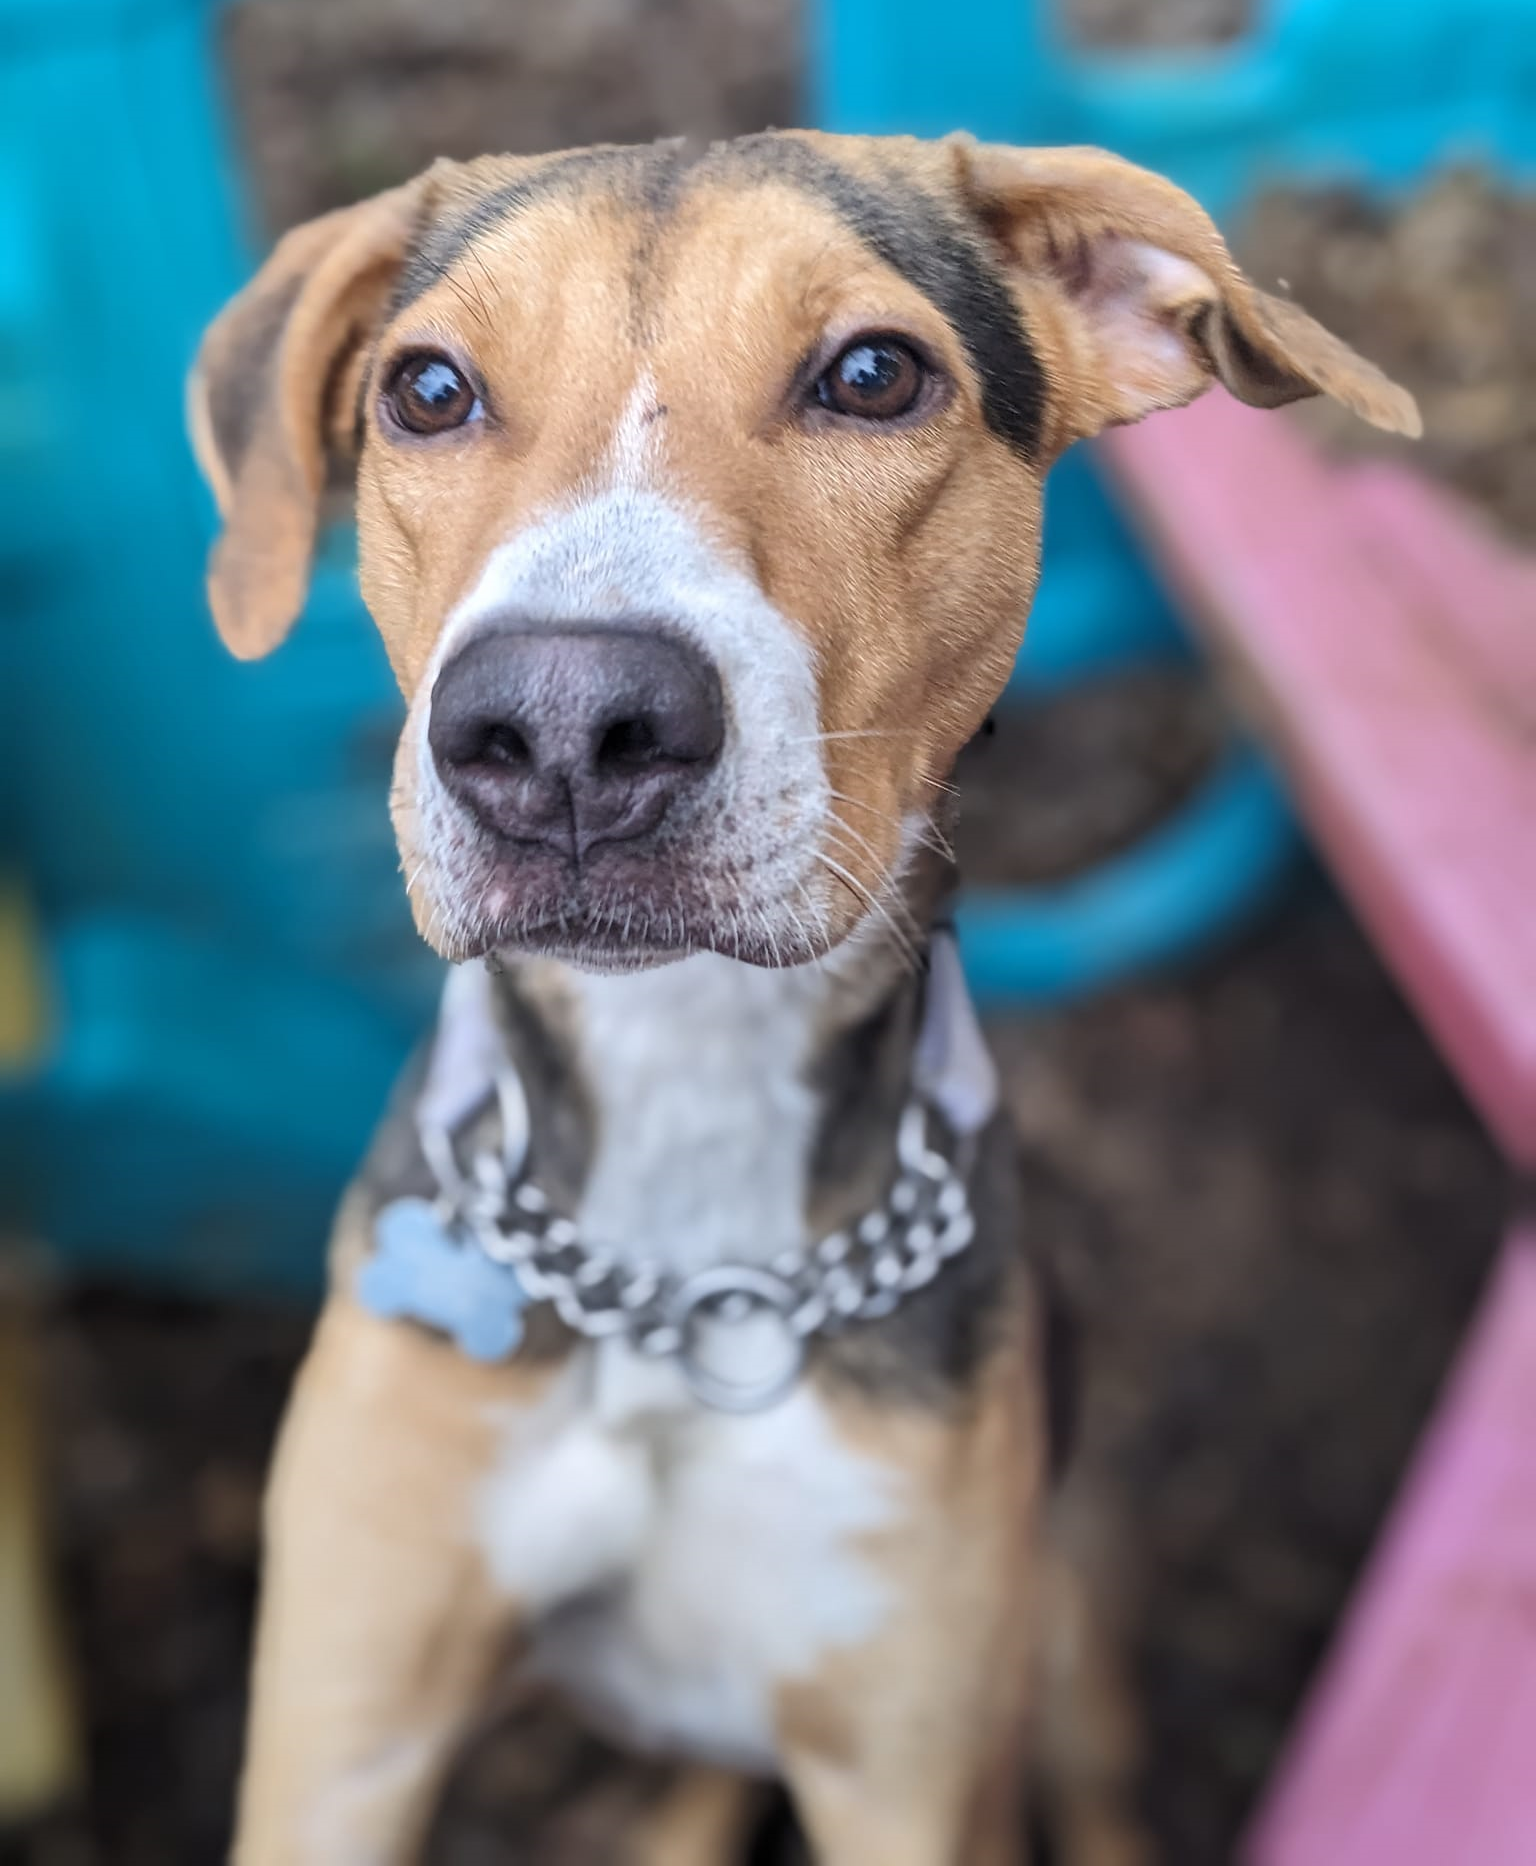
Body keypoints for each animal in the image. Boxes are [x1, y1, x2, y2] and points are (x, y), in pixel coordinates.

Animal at [192, 131, 1418, 1866]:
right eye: (425, 390)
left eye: (873, 374)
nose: (561, 724)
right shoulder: (343, 1725)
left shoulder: (909, 1764)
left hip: (1060, 1627)